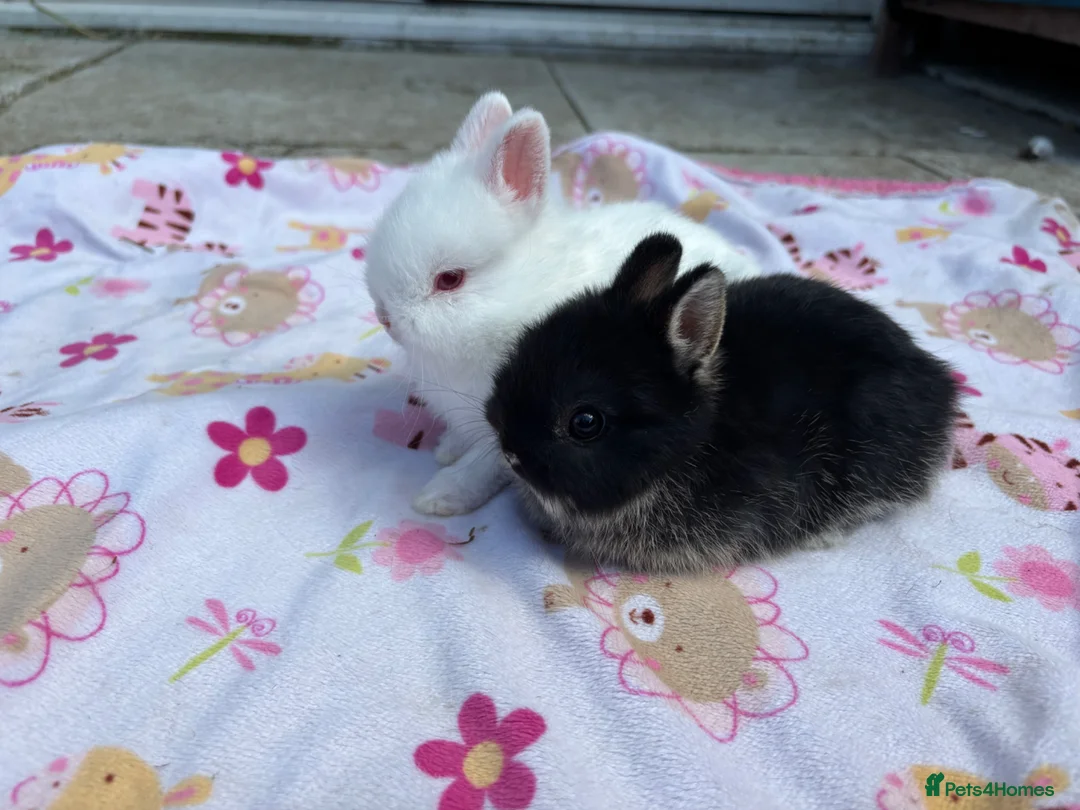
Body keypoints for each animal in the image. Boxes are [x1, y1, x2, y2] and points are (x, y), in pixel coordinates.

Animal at [364, 92, 761, 517]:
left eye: (450, 279)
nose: (384, 318)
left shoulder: (501, 429)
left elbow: (484, 466)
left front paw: (440, 496)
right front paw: (446, 449)